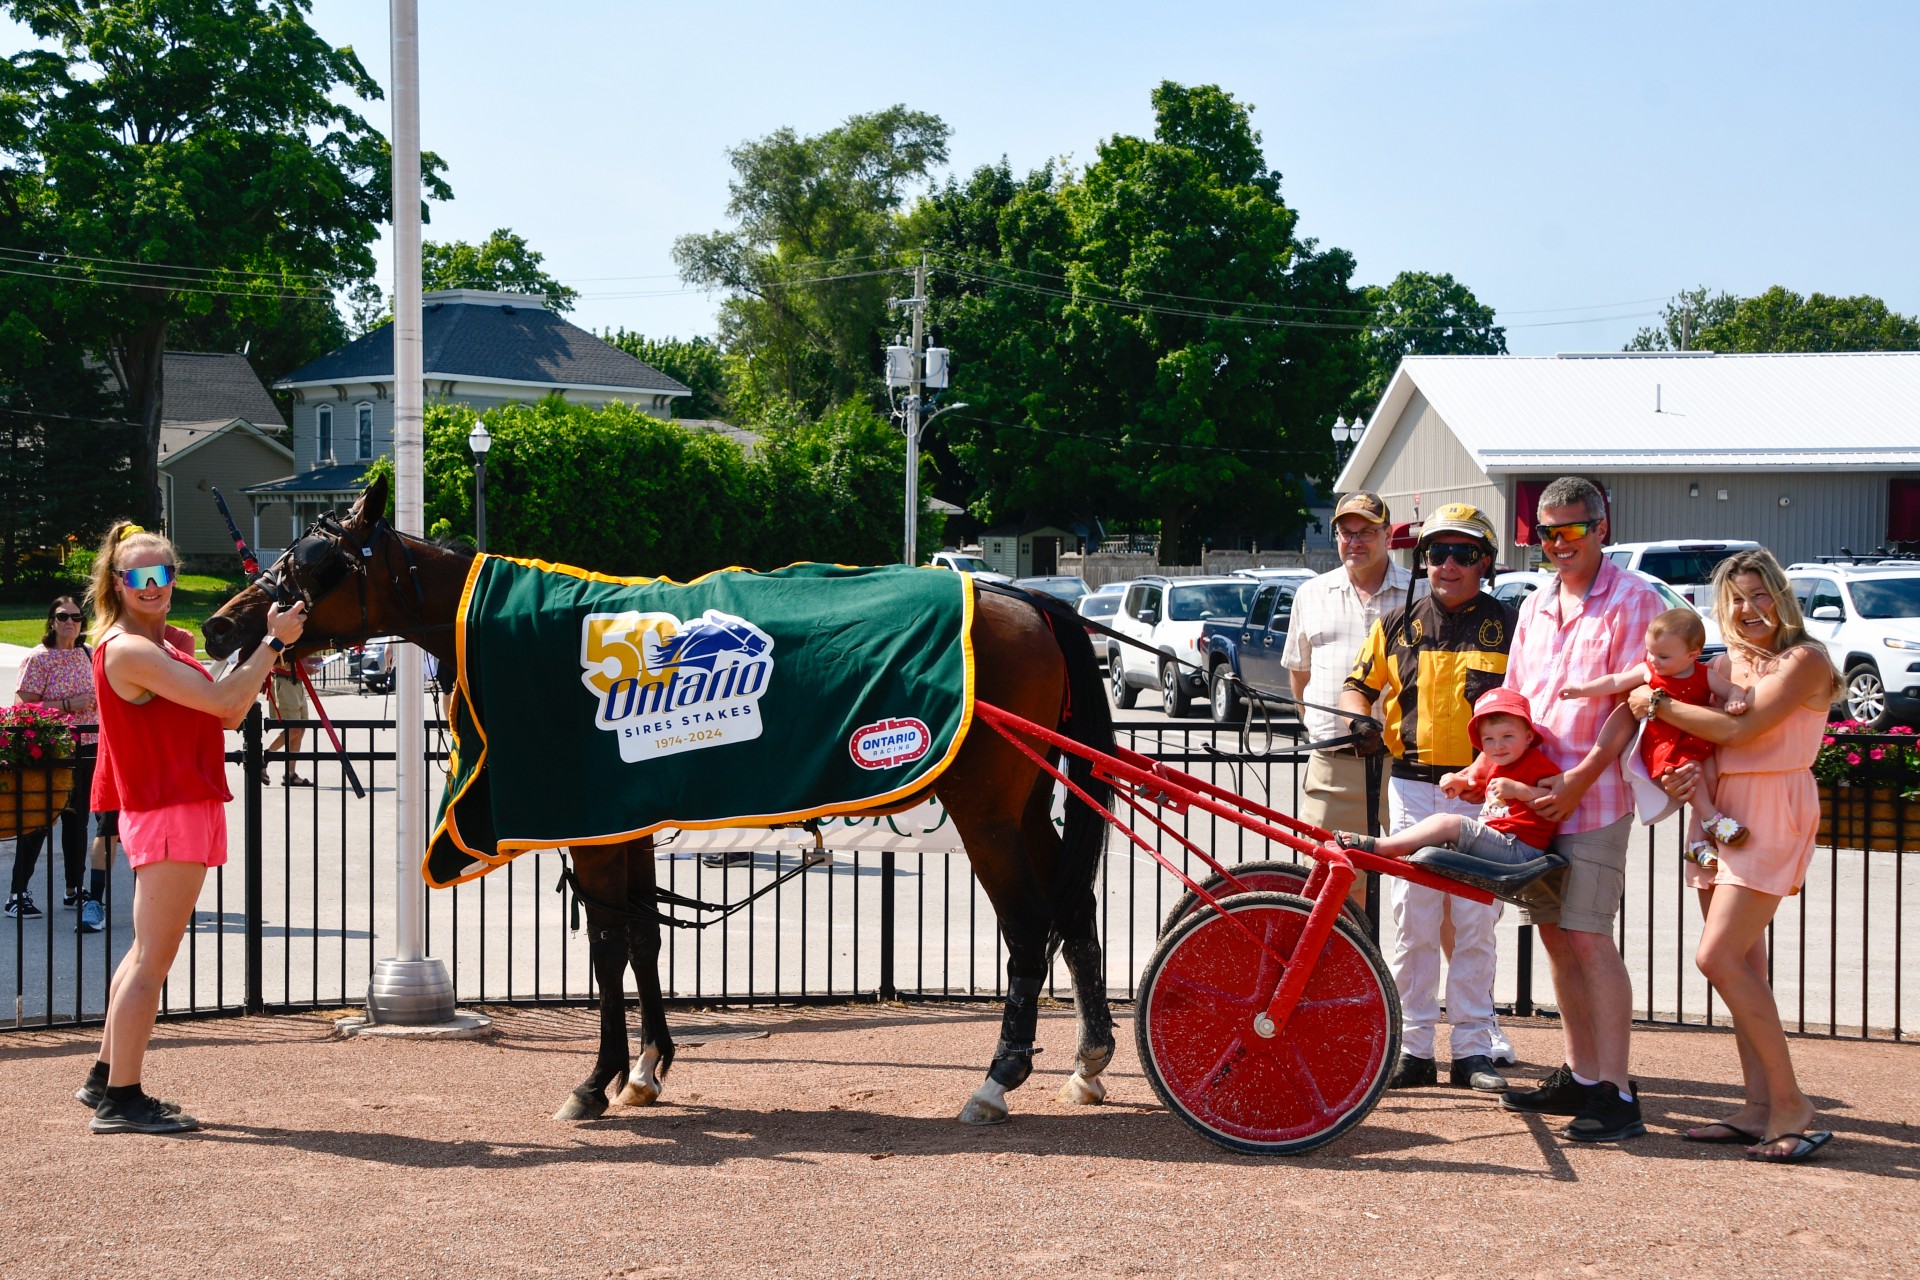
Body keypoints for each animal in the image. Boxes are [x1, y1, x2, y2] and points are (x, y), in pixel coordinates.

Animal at [202, 479, 1121, 1128]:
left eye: (309, 564)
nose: (222, 623)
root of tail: (1027, 597)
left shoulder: (591, 825)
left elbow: (609, 946)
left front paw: (598, 1078)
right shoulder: (626, 819)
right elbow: (643, 939)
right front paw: (646, 1066)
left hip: (987, 812)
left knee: (1028, 925)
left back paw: (999, 1076)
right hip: (1028, 804)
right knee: (1075, 908)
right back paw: (1089, 1056)